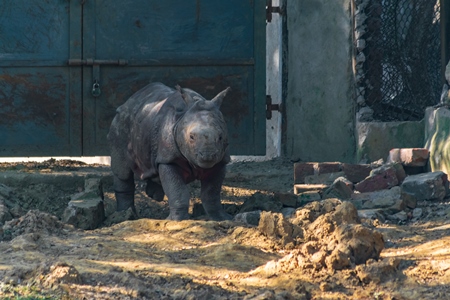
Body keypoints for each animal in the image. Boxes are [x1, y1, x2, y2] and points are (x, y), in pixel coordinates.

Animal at [108, 82, 232, 220]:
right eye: (191, 137)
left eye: (220, 137)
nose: (207, 156)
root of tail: (128, 101)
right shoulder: (168, 159)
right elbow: (178, 191)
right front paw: (178, 220)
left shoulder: (221, 161)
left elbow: (211, 194)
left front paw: (222, 218)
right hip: (120, 124)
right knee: (122, 172)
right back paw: (125, 215)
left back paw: (152, 195)